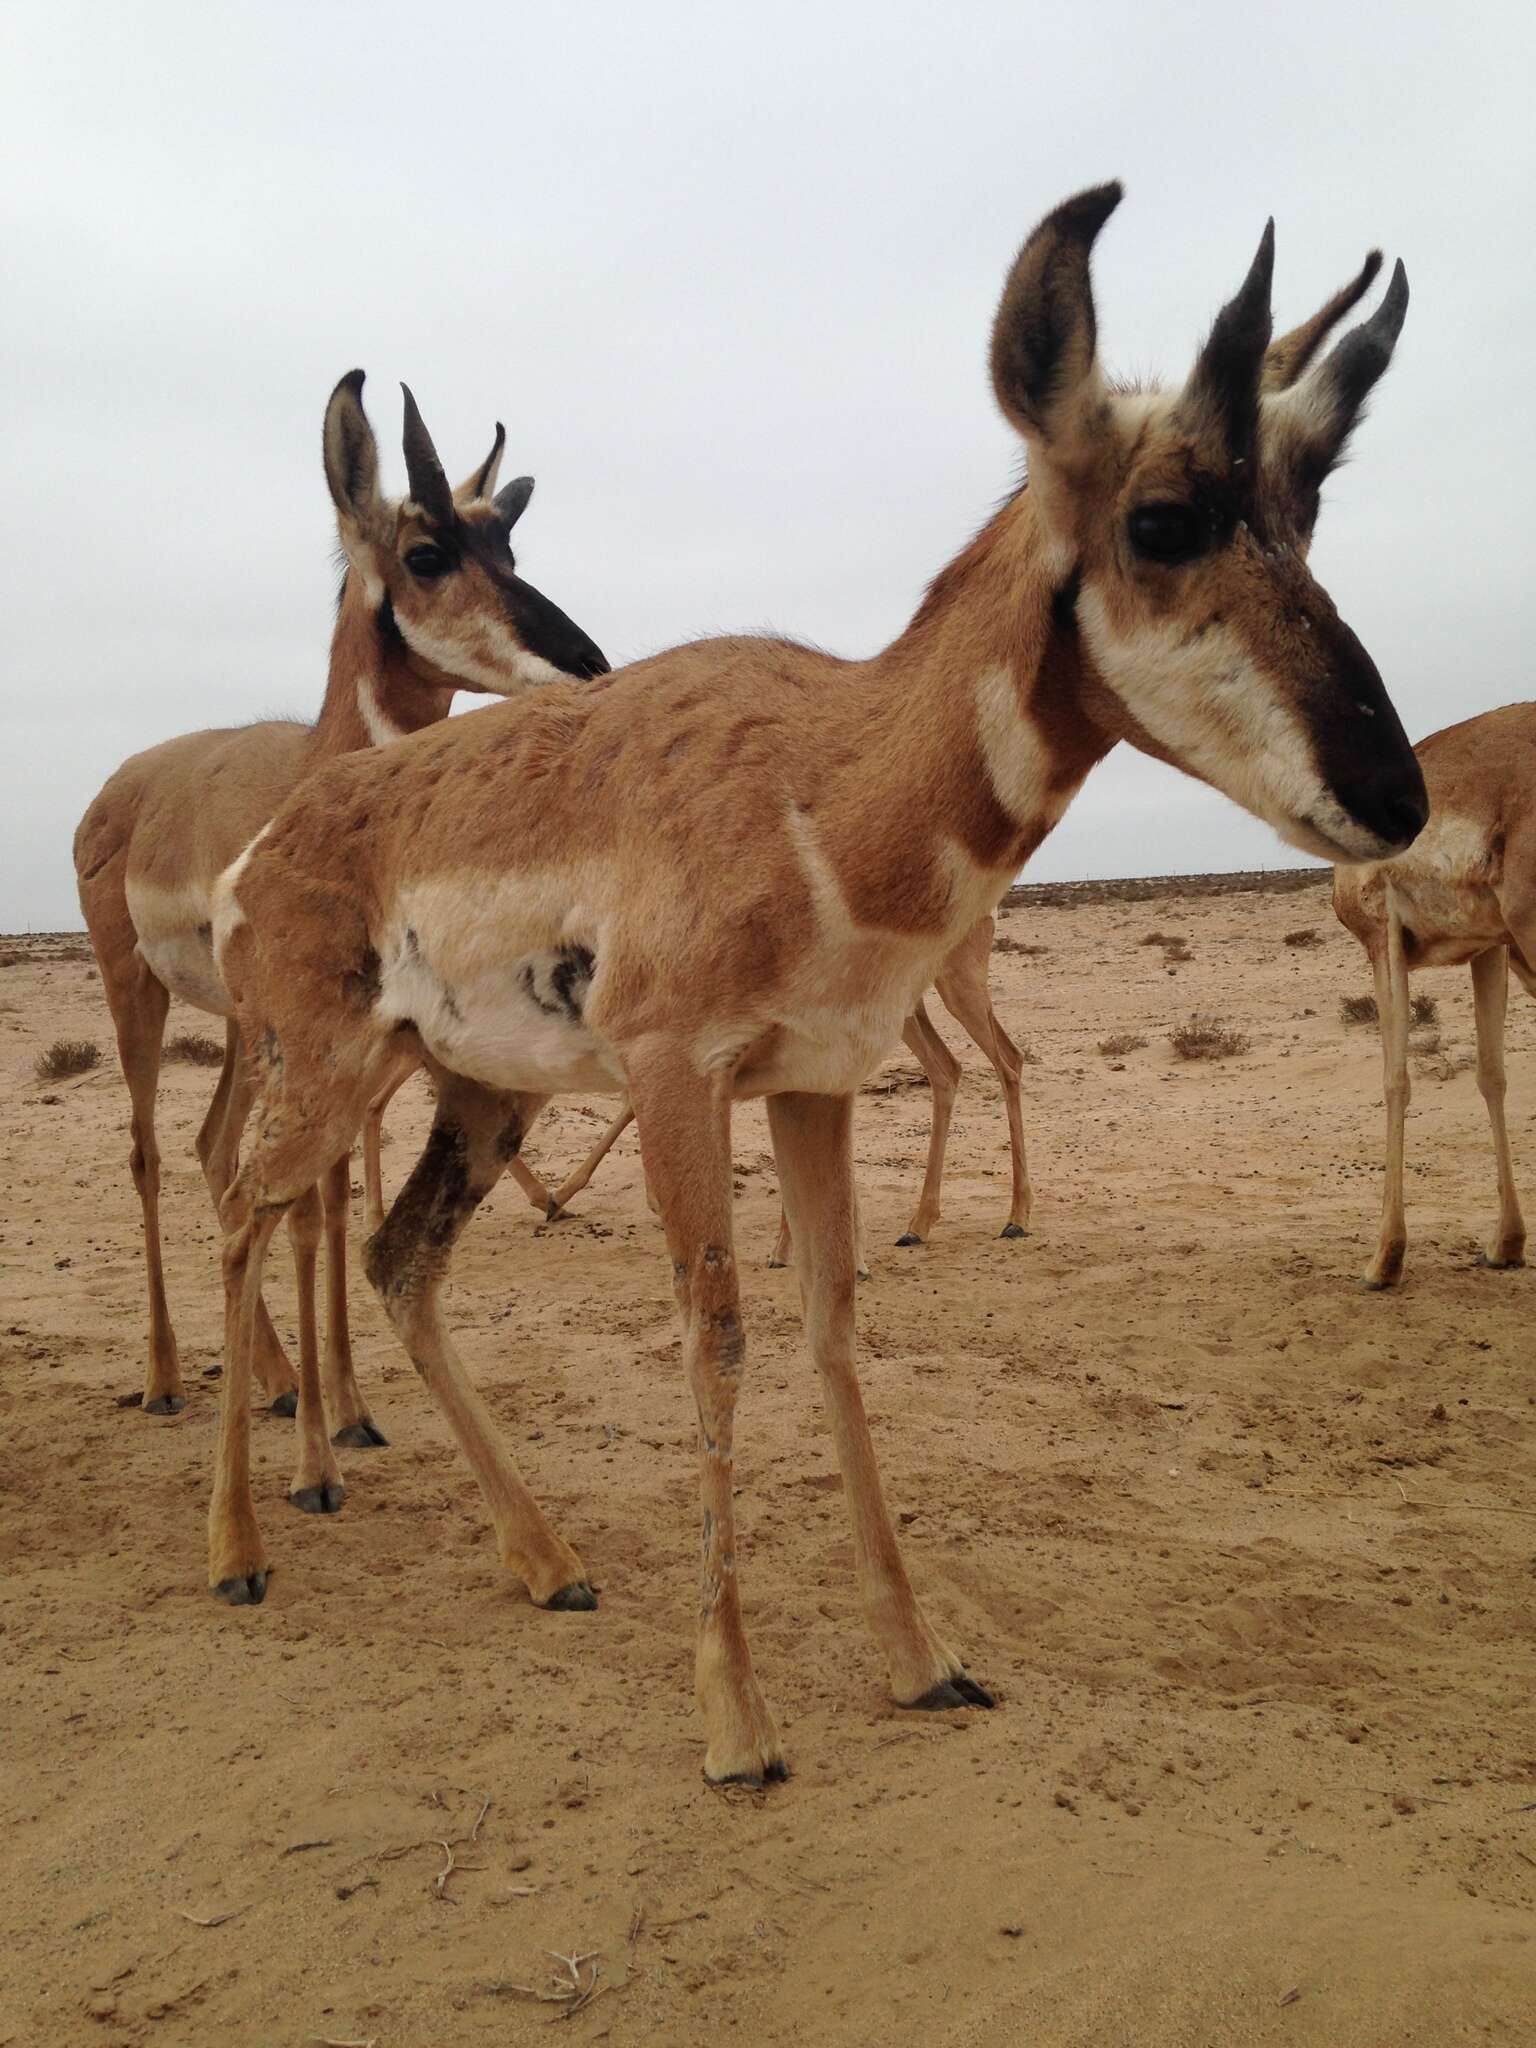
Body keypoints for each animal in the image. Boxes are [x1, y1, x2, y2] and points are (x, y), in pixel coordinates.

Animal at [75, 368, 610, 1433]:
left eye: (509, 548)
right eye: (427, 553)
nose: (588, 661)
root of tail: (124, 785)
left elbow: (328, 1191)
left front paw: (349, 1406)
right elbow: (313, 1205)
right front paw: (332, 1422)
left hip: (245, 1034)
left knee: (215, 1152)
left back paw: (281, 1381)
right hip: (137, 993)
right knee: (152, 1153)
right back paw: (164, 1377)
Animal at [207, 192, 1433, 1794]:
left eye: (1306, 513)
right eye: (1161, 519)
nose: (1399, 797)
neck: (821, 780)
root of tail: (278, 831)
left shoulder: (812, 1087)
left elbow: (835, 1329)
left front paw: (922, 1661)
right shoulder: (680, 1084)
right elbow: (717, 1342)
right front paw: (737, 1725)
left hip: (478, 1095)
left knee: (395, 1257)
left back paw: (549, 1561)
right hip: (328, 1072)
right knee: (241, 1210)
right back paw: (238, 1547)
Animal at [1335, 704, 1536, 1277]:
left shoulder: (1382, 940)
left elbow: (1395, 1079)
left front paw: (1384, 1259)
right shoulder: (1490, 948)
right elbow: (1492, 1076)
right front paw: (1505, 1243)